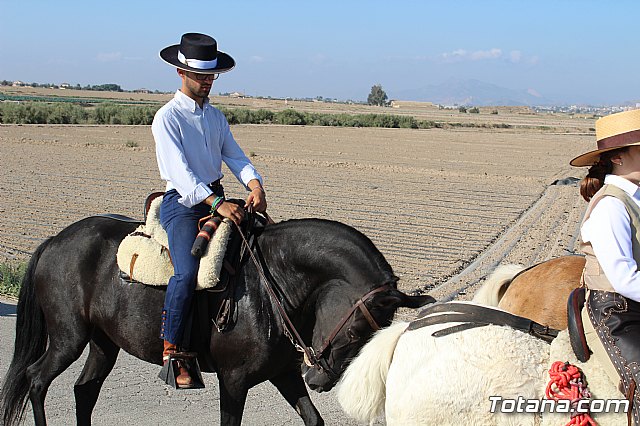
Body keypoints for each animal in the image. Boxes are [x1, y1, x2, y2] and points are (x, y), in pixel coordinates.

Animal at [1, 216, 436, 426]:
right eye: (359, 328)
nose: (320, 379)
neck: (272, 284)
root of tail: (54, 242)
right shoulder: (234, 380)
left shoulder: (283, 374)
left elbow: (314, 419)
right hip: (67, 338)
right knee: (36, 380)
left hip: (103, 344)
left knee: (84, 391)